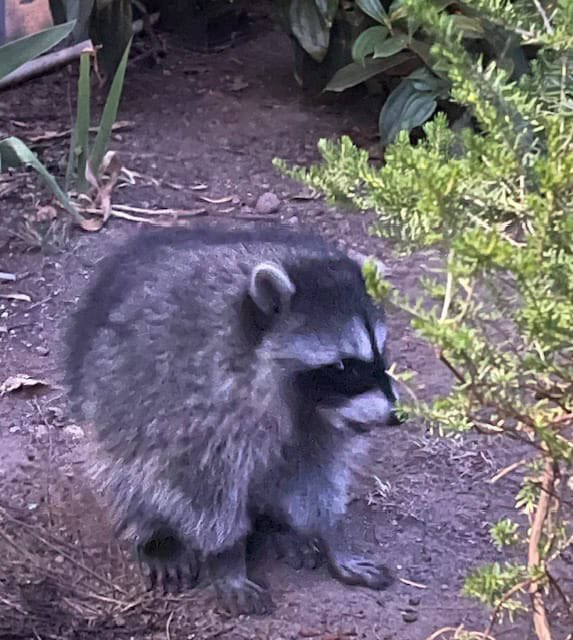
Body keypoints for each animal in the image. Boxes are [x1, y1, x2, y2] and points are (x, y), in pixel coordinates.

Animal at [64, 225, 401, 615]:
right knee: (128, 474)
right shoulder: (200, 407)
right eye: (345, 366)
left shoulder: (322, 424)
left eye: (381, 355)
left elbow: (316, 474)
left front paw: (332, 536)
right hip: (113, 409)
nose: (396, 416)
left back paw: (277, 526)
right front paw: (227, 558)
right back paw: (155, 534)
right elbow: (205, 491)